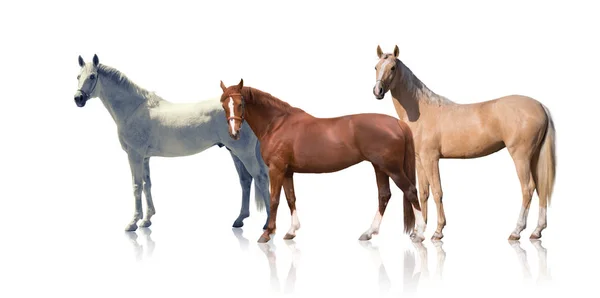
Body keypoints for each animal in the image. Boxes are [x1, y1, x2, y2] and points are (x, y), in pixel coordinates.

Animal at [73, 54, 270, 232]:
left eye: (92, 76)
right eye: (77, 76)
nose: (78, 99)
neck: (134, 108)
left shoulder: (134, 155)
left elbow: (136, 186)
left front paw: (133, 223)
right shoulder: (145, 157)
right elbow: (147, 185)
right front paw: (147, 220)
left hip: (244, 153)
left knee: (260, 178)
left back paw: (268, 224)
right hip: (234, 152)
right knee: (246, 181)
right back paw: (239, 219)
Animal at [218, 78, 424, 242]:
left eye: (240, 103)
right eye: (223, 105)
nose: (234, 133)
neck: (277, 124)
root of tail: (398, 123)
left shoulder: (276, 169)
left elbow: (274, 199)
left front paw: (267, 233)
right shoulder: (287, 171)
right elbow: (291, 198)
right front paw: (291, 231)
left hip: (392, 169)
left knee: (411, 191)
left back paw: (420, 234)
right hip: (380, 167)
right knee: (384, 195)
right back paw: (369, 232)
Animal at [372, 45, 556, 241]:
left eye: (392, 68)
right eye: (376, 67)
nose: (378, 91)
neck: (422, 111)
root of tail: (540, 106)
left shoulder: (431, 159)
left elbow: (437, 192)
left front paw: (438, 231)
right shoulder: (420, 160)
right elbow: (423, 193)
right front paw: (418, 232)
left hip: (521, 157)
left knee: (527, 189)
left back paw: (516, 231)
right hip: (534, 156)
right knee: (541, 188)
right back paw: (537, 231)